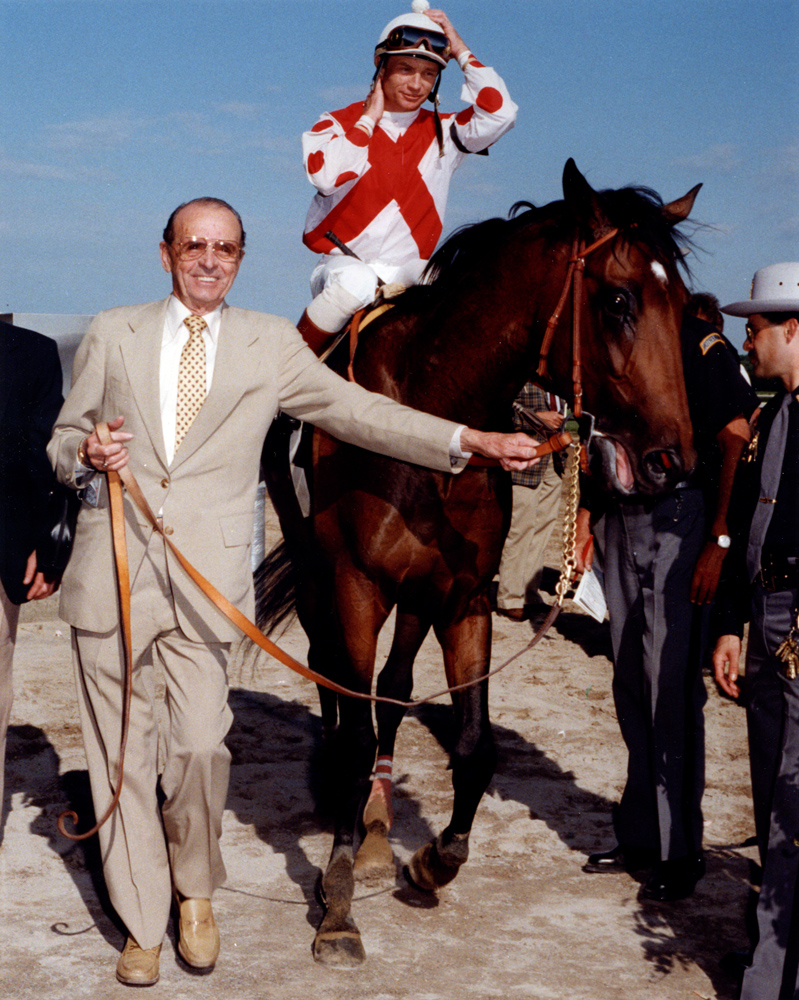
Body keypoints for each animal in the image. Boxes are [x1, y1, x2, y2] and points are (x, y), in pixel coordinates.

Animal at [260, 160, 700, 964]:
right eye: (618, 300)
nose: (671, 461)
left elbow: (472, 744)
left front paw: (431, 861)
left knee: (395, 686)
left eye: (683, 308)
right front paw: (337, 901)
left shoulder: (464, 594)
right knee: (333, 677)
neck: (431, 420)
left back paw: (377, 824)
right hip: (316, 575)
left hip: (417, 597)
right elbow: (357, 726)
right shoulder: (355, 586)